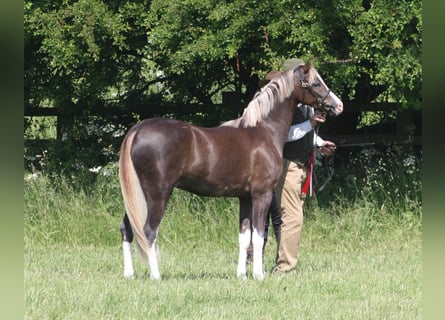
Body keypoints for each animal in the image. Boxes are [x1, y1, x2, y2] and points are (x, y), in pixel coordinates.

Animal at [118, 60, 344, 280]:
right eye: (316, 83)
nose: (338, 105)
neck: (264, 131)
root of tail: (137, 130)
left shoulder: (245, 197)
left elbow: (244, 237)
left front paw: (241, 275)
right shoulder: (261, 195)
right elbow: (258, 236)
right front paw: (259, 275)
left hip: (138, 196)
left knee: (127, 229)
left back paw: (129, 274)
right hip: (158, 195)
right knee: (148, 232)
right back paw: (156, 276)